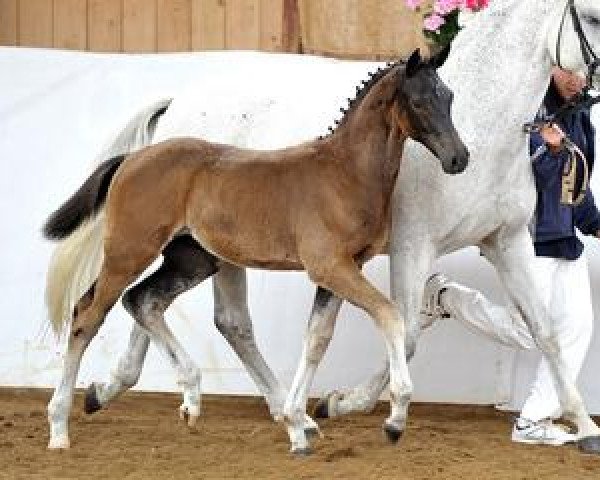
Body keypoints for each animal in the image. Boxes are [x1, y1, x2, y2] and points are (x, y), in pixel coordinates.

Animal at [45, 47, 468, 452]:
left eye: (448, 97)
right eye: (418, 101)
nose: (459, 158)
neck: (344, 174)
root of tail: (131, 159)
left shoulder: (344, 269)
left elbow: (317, 339)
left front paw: (300, 424)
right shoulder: (329, 266)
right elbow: (390, 315)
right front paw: (394, 420)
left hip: (193, 260)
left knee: (143, 300)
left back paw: (190, 397)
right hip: (129, 252)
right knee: (87, 315)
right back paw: (59, 428)